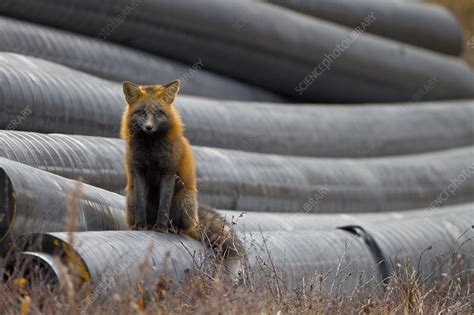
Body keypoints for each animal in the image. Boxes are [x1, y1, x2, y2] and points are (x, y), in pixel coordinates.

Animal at [120, 80, 244, 272]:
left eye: (158, 113)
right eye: (142, 112)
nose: (148, 127)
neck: (150, 148)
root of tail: (195, 220)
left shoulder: (169, 172)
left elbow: (164, 205)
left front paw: (160, 227)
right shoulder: (139, 171)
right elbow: (141, 203)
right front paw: (141, 225)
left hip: (184, 199)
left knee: (185, 229)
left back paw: (174, 229)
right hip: (131, 197)